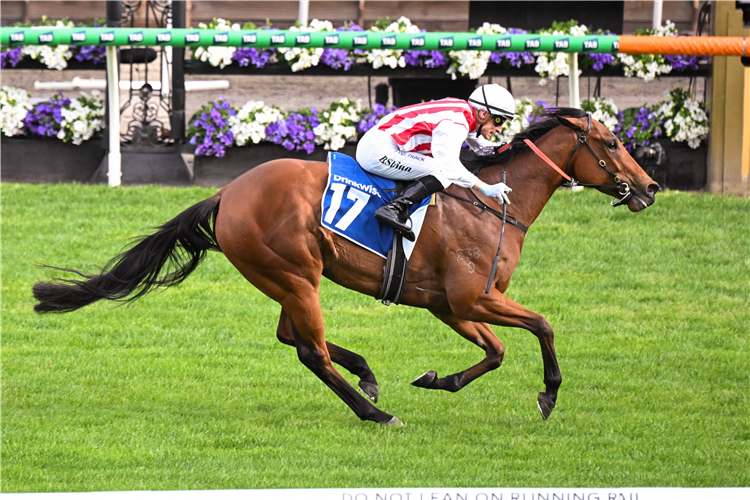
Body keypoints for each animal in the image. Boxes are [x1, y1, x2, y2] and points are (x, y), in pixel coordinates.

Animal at [33, 109, 656, 426]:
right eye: (614, 142)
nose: (649, 188)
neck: (493, 208)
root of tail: (228, 193)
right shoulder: (470, 297)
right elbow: (543, 325)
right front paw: (548, 394)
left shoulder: (449, 304)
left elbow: (497, 350)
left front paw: (438, 378)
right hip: (294, 274)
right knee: (310, 350)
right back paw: (373, 411)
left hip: (287, 280)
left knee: (294, 338)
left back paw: (368, 376)